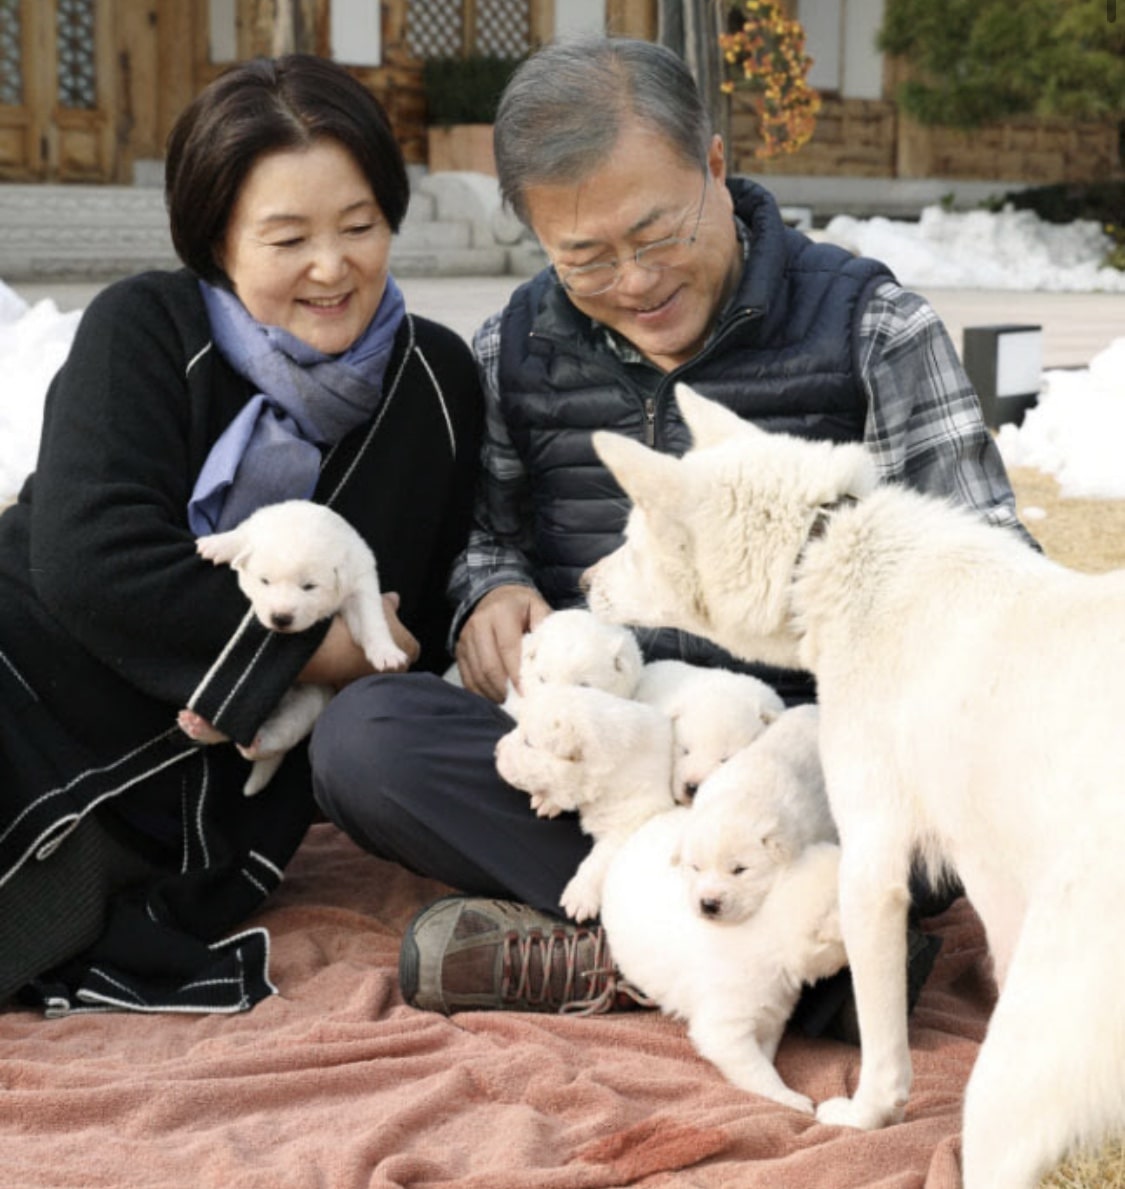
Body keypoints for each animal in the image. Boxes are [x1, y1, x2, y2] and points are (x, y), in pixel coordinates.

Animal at [186, 497, 406, 794]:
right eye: (264, 581)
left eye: (309, 586)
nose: (280, 618)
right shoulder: (258, 523)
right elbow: (242, 536)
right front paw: (218, 544)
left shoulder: (360, 583)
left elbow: (371, 619)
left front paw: (386, 651)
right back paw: (200, 726)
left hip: (309, 703)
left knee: (275, 735)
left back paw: (247, 740)